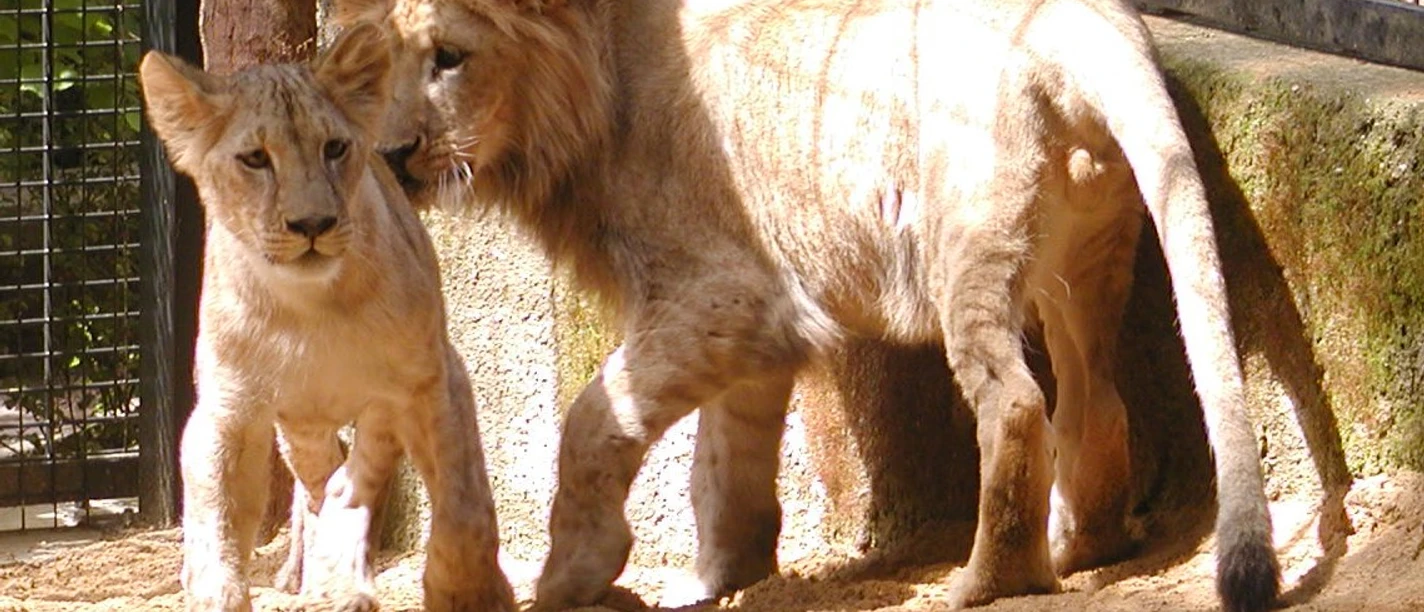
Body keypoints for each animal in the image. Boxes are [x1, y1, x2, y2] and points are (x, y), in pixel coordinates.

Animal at [138, 23, 515, 612]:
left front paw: (468, 590)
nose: (312, 223)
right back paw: (315, 574)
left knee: (356, 474)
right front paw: (218, 588)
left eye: (334, 148)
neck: (311, 308)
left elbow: (463, 504)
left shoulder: (435, 377)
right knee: (321, 481)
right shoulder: (228, 409)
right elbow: (213, 521)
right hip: (300, 425)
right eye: (254, 159)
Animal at [335, 0, 1281, 609]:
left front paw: (572, 575)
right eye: (376, 63)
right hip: (1085, 259)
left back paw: (986, 581)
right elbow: (726, 461)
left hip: (967, 239)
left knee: (1015, 403)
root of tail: (1082, 23)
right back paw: (1078, 545)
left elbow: (595, 419)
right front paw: (715, 578)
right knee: (1096, 403)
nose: (396, 154)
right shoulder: (760, 321)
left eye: (449, 58)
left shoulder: (722, 290)